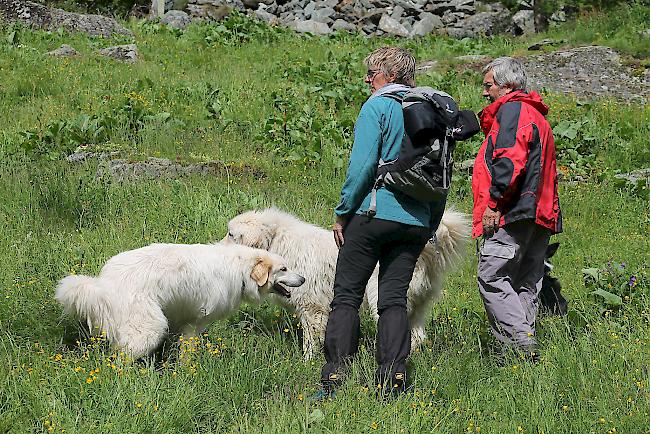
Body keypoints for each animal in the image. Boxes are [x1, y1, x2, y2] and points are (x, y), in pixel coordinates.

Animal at [55, 242, 304, 358]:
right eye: (284, 269)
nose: (303, 279)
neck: (239, 269)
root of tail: (105, 284)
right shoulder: (195, 323)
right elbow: (188, 352)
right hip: (150, 328)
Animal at [223, 207, 466, 360]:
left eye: (231, 234)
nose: (216, 245)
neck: (276, 241)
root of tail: (422, 253)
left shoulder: (312, 308)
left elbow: (311, 340)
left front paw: (307, 362)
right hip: (417, 307)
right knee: (417, 337)